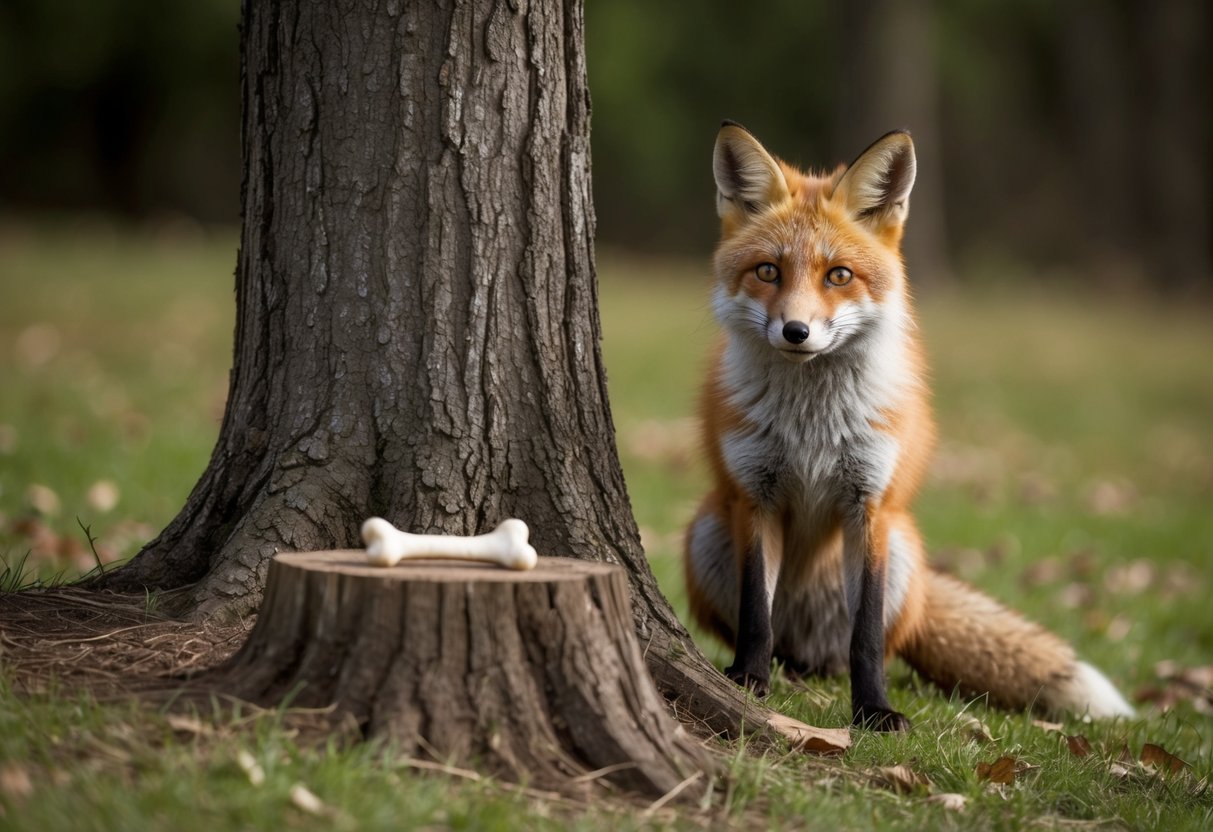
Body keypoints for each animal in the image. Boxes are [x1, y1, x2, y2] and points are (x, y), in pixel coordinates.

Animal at [683, 122, 1135, 731]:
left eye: (839, 275)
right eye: (768, 271)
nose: (796, 331)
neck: (811, 427)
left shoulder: (870, 505)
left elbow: (867, 636)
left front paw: (874, 711)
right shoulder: (755, 497)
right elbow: (757, 614)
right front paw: (748, 682)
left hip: (902, 546)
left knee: (851, 648)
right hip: (707, 529)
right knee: (776, 635)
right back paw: (777, 668)